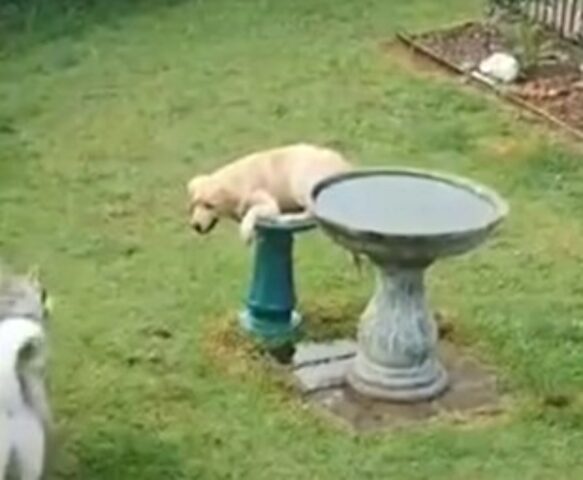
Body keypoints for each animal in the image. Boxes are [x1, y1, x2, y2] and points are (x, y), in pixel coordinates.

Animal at [187, 142, 352, 240]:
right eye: (194, 205)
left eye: (210, 206)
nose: (195, 226)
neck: (237, 180)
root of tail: (346, 166)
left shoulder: (269, 204)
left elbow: (252, 211)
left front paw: (246, 230)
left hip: (299, 180)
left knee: (312, 213)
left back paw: (288, 218)